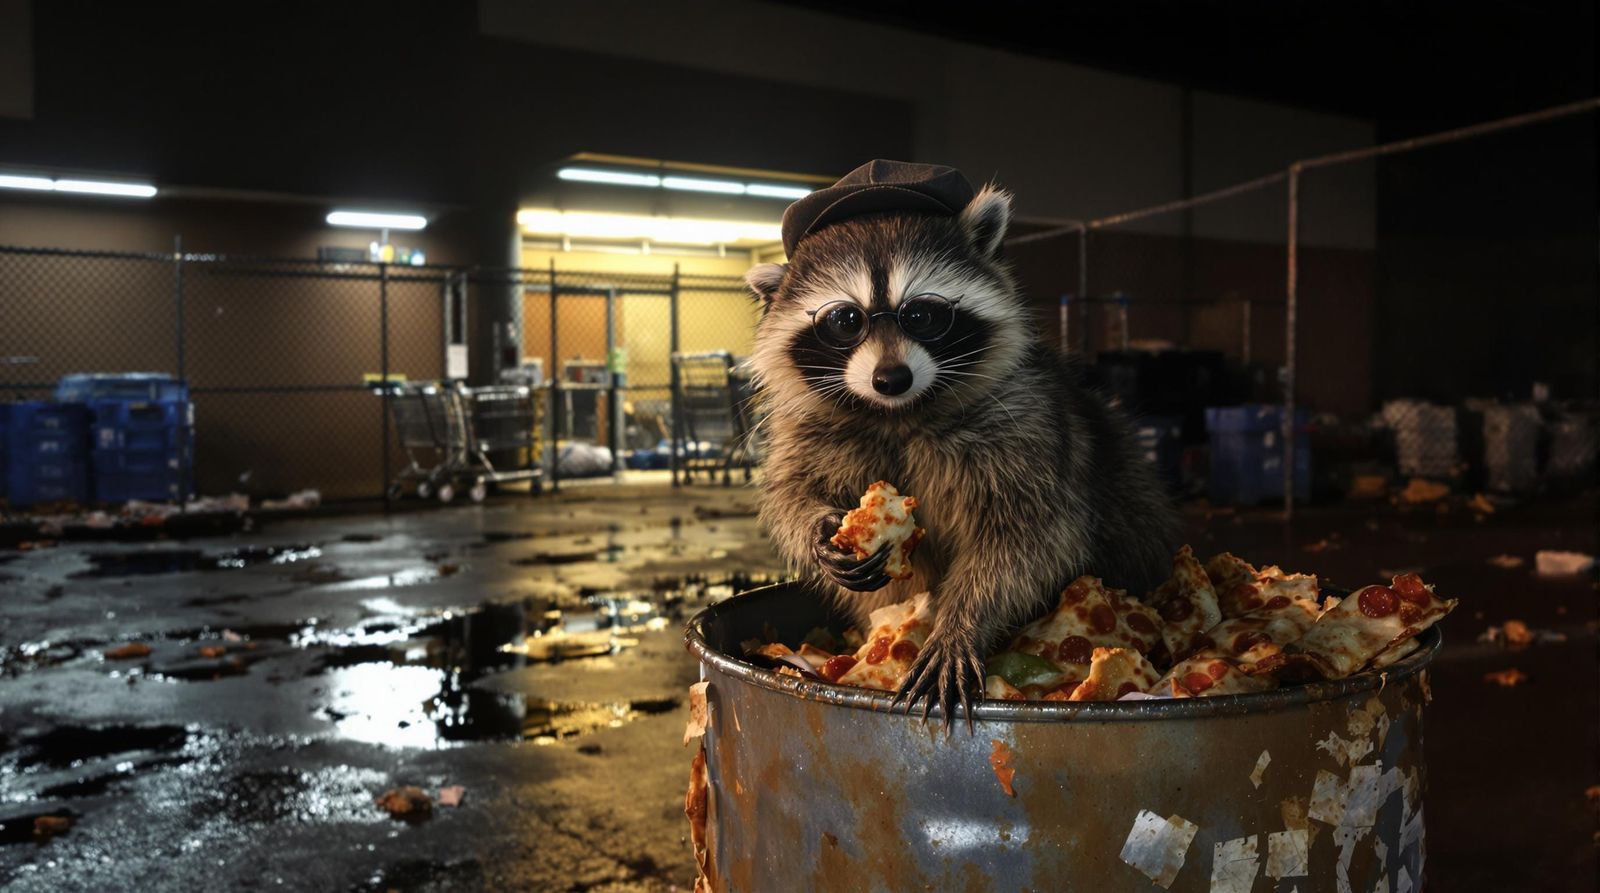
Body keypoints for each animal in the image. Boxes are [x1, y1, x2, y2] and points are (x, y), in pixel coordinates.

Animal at [746, 168, 1177, 723]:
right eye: (845, 321)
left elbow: (1028, 540)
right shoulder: (807, 430)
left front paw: (963, 622)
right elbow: (790, 492)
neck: (901, 414)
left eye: (922, 315)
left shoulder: (1028, 425)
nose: (891, 378)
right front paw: (818, 526)